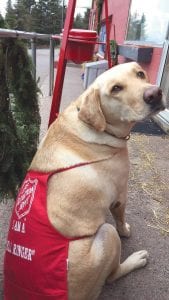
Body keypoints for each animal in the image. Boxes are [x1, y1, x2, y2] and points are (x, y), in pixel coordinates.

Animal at [30, 62, 165, 298]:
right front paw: (126, 230)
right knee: (112, 275)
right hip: (107, 234)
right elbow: (120, 219)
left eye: (140, 74)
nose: (154, 93)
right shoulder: (120, 196)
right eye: (116, 89)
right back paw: (136, 259)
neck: (95, 126)